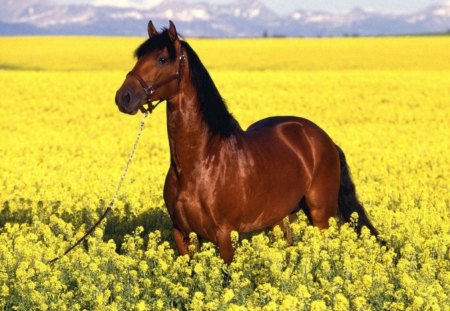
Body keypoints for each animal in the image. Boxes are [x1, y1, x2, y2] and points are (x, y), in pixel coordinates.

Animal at [114, 20, 378, 264]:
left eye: (162, 59)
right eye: (139, 57)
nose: (123, 97)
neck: (200, 162)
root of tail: (324, 139)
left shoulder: (225, 235)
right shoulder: (182, 234)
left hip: (321, 215)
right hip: (279, 216)